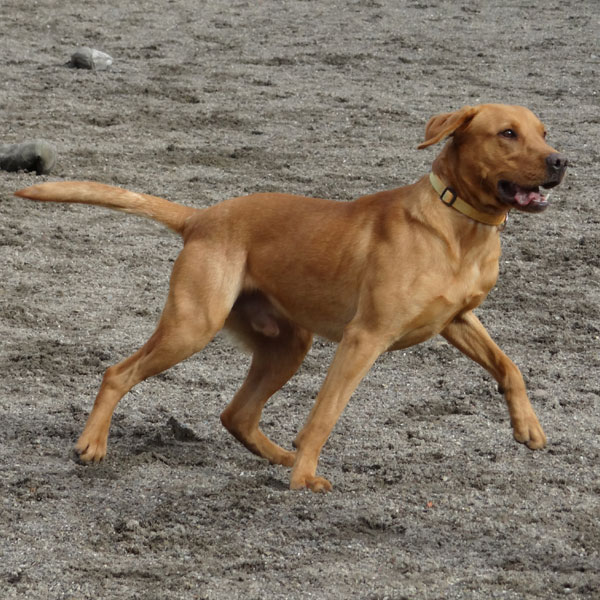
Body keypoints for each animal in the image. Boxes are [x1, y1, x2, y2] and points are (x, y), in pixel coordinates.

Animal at [14, 103, 568, 492]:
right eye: (507, 133)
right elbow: (325, 413)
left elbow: (509, 367)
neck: (459, 227)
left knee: (236, 415)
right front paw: (304, 480)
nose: (561, 161)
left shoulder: (459, 320)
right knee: (119, 373)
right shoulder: (364, 338)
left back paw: (281, 454)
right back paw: (92, 444)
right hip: (192, 327)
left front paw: (529, 429)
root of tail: (201, 218)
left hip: (285, 346)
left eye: (544, 132)